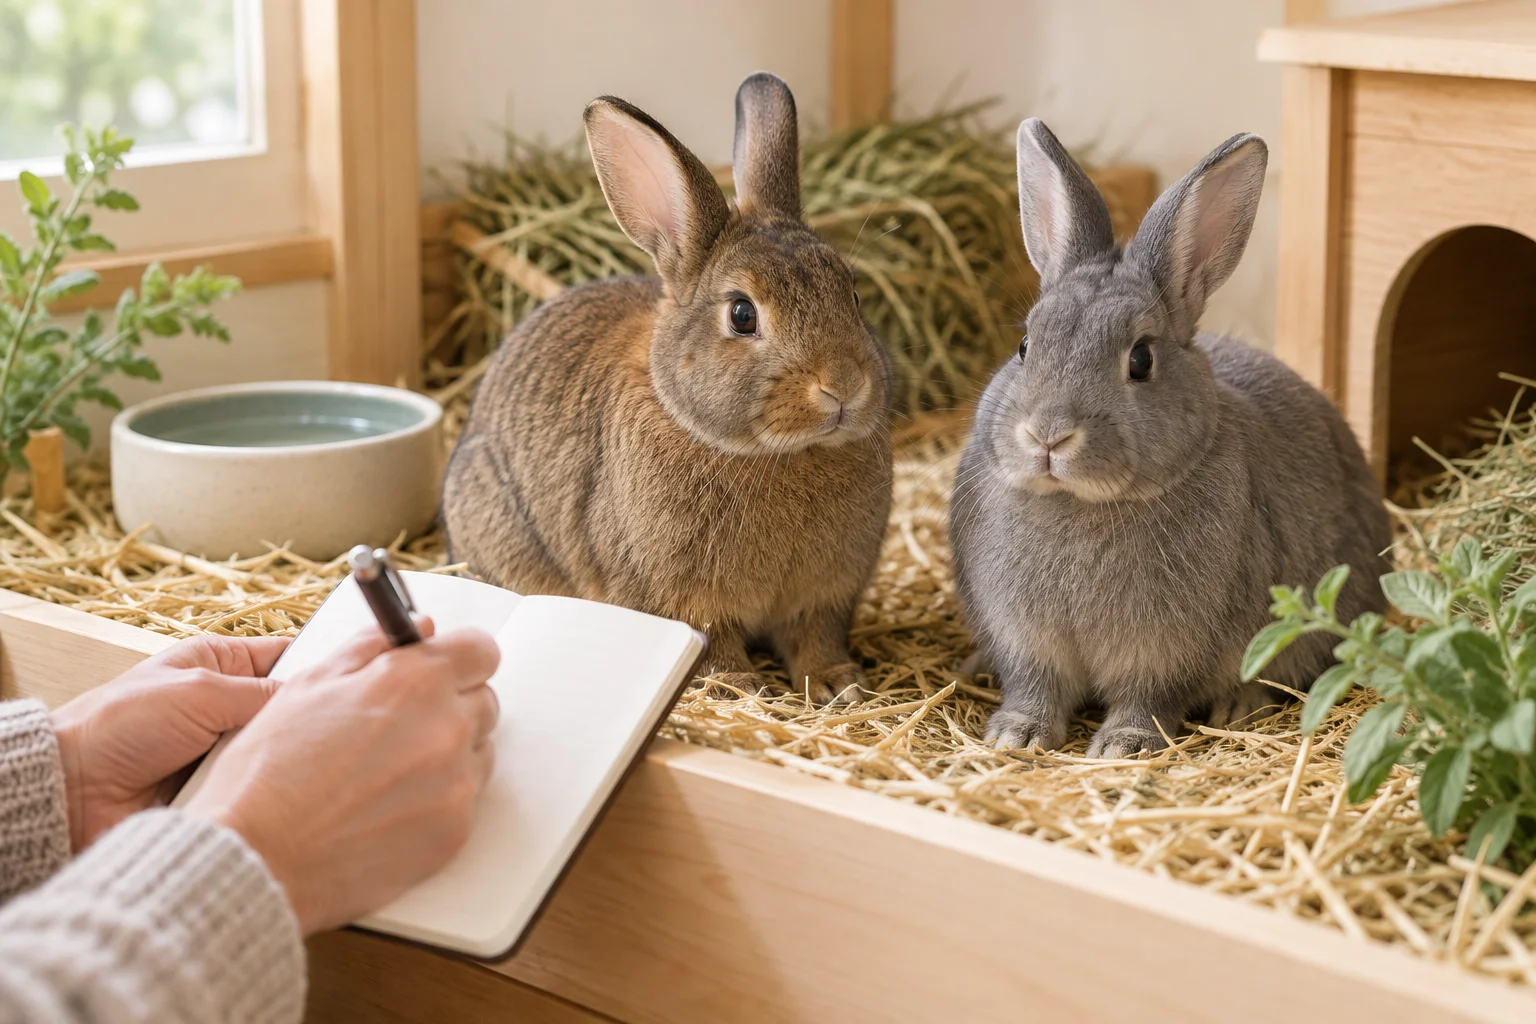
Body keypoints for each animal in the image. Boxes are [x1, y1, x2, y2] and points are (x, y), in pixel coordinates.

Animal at [443, 72, 893, 705]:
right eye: (742, 315)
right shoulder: (686, 599)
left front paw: (840, 685)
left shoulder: (825, 596)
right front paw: (738, 688)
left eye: (850, 293)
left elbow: (816, 639)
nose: (843, 387)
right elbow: (715, 644)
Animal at [949, 119, 1391, 759]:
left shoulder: (1166, 650)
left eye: (1141, 359)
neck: (1081, 504)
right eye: (1025, 346)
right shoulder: (1025, 638)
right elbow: (1036, 687)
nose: (1048, 437)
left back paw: (1238, 708)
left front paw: (1122, 746)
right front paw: (1017, 736)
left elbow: (1149, 698)